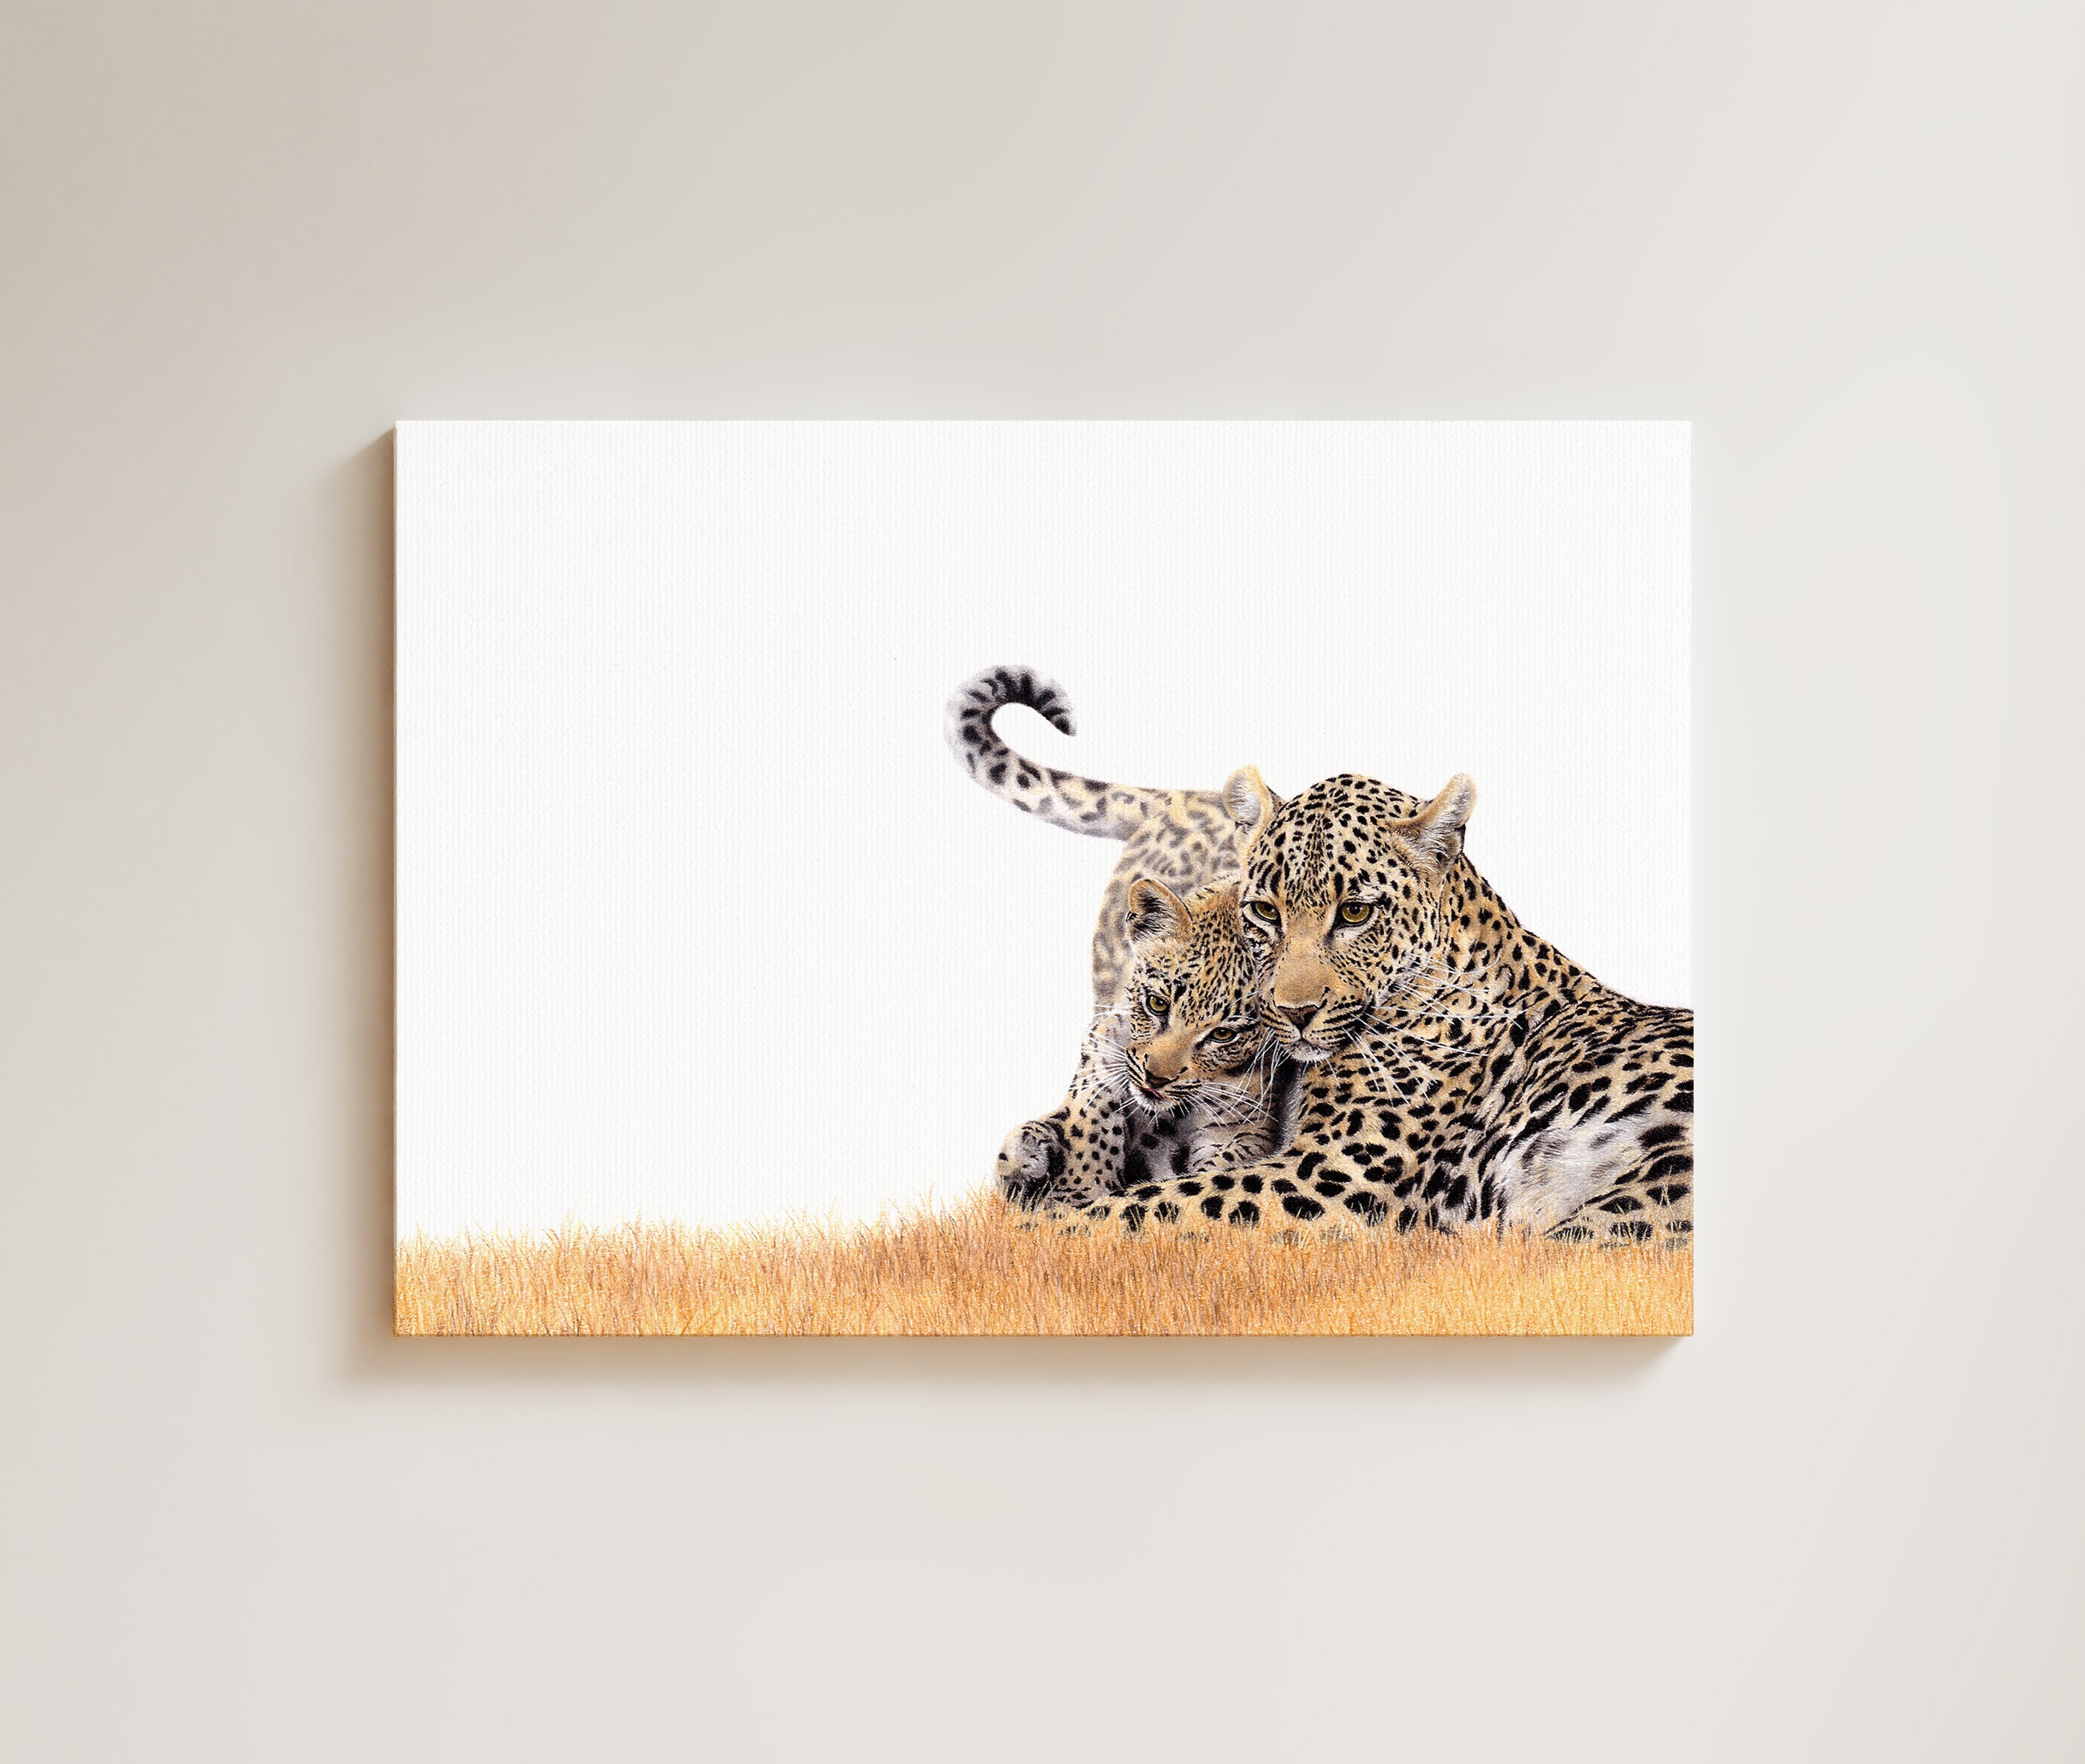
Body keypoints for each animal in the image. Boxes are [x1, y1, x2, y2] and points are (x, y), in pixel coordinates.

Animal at [1004, 767, 1695, 1246]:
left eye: (1357, 912)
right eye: (1265, 910)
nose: (1293, 1011)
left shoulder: (1334, 1174)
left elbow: (1149, 1206)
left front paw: (1028, 1232)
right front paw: (1028, 1160)